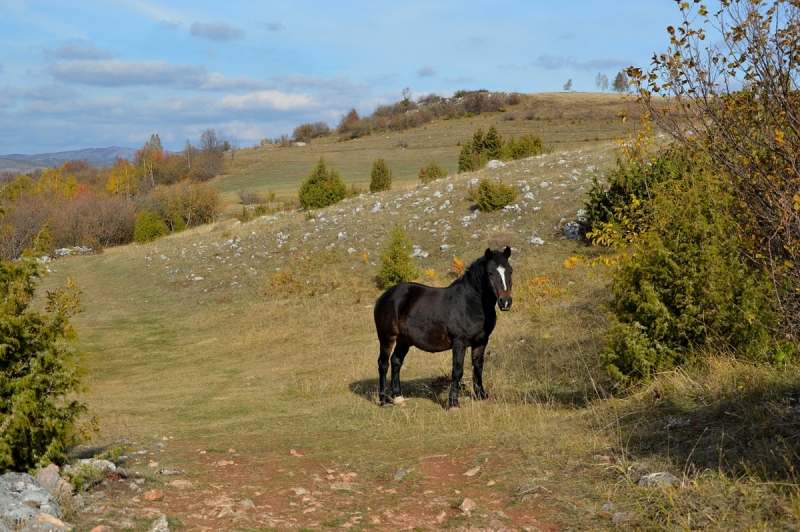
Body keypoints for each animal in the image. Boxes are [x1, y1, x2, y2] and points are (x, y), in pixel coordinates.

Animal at [374, 247, 512, 410]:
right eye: (490, 272)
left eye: (510, 271)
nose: (505, 302)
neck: (471, 303)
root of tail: (385, 296)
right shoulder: (459, 343)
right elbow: (457, 371)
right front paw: (453, 403)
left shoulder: (481, 341)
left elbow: (478, 368)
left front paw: (482, 396)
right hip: (387, 337)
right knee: (383, 364)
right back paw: (384, 401)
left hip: (404, 340)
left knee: (396, 362)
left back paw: (398, 398)